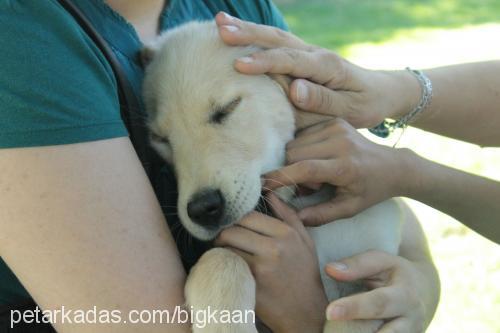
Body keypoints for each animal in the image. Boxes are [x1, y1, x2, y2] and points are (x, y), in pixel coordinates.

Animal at [144, 21, 402, 332]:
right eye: (160, 139)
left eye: (227, 108)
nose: (203, 209)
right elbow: (221, 258)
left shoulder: (375, 277)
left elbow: (353, 314)